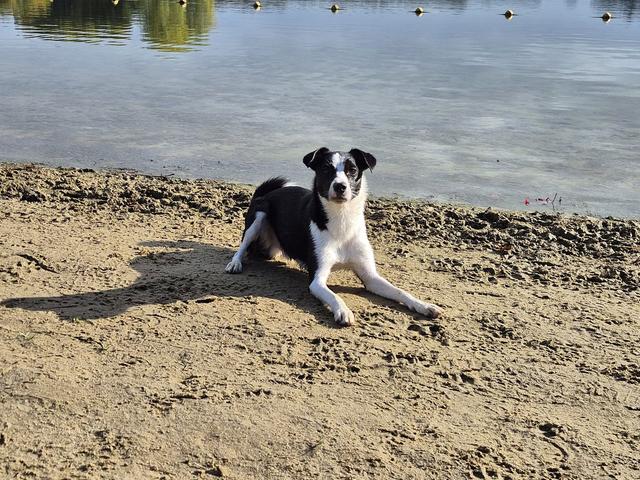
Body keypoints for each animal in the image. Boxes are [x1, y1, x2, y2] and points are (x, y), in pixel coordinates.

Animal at [225, 147, 443, 326]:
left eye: (352, 170)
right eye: (326, 170)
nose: (340, 186)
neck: (342, 219)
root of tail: (267, 192)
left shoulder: (370, 277)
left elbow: (400, 291)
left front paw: (423, 305)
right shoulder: (317, 281)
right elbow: (334, 296)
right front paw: (343, 311)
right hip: (259, 215)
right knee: (242, 246)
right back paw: (235, 263)